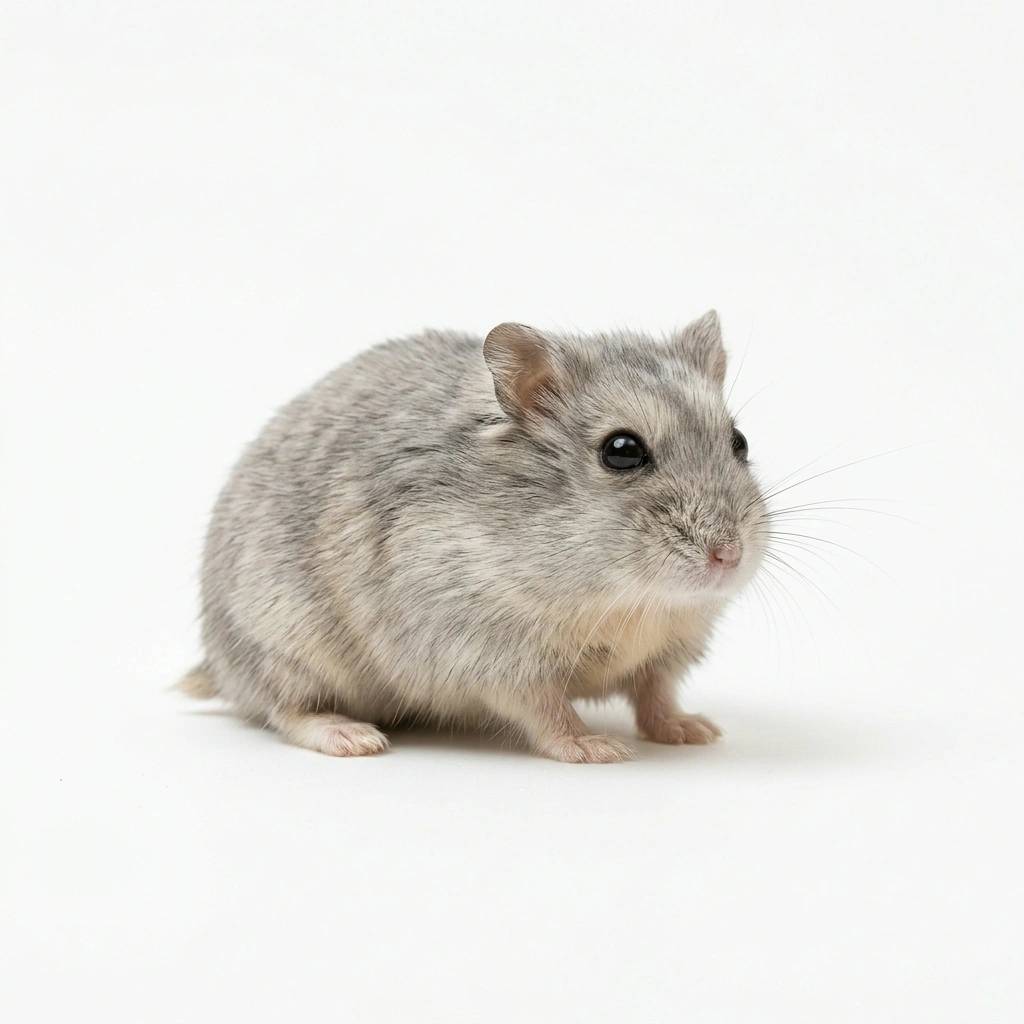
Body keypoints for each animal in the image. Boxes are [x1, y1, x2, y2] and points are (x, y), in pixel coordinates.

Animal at [180, 311, 767, 762]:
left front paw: (696, 731)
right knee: (287, 708)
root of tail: (217, 665)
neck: (629, 600)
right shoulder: (489, 653)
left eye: (738, 441)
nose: (728, 556)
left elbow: (656, 695)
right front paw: (598, 748)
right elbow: (547, 709)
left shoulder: (668, 648)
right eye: (621, 451)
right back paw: (353, 737)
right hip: (284, 647)